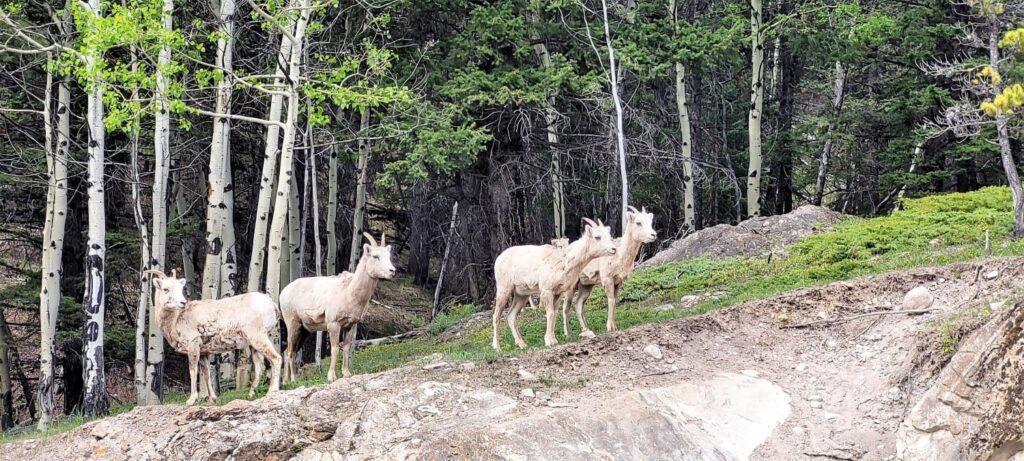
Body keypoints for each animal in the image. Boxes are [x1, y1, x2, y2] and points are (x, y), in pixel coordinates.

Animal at [144, 268, 280, 405]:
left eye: (180, 288)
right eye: (166, 289)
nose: (183, 302)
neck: (174, 321)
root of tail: (272, 305)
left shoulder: (193, 345)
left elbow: (193, 371)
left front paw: (191, 400)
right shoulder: (204, 353)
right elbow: (206, 373)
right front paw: (212, 398)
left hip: (258, 337)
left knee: (276, 358)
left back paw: (272, 391)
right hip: (254, 344)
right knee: (260, 366)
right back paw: (251, 394)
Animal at [278, 232, 393, 383]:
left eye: (389, 256)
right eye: (375, 256)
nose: (392, 271)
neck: (350, 293)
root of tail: (283, 293)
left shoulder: (350, 325)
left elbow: (346, 347)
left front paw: (346, 373)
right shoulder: (333, 324)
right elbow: (334, 349)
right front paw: (331, 377)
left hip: (305, 330)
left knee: (289, 350)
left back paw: (288, 381)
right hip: (293, 324)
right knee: (290, 351)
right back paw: (293, 380)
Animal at [489, 219, 614, 350]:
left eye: (609, 235)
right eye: (597, 237)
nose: (613, 249)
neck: (564, 263)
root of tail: (498, 259)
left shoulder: (558, 293)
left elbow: (554, 313)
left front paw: (554, 340)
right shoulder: (546, 291)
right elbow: (549, 313)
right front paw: (549, 341)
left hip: (521, 295)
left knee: (511, 316)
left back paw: (522, 344)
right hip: (504, 289)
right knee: (496, 316)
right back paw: (497, 347)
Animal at [561, 206, 655, 336]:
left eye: (650, 221)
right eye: (638, 222)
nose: (653, 235)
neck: (619, 255)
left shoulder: (618, 282)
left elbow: (615, 301)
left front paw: (615, 327)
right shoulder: (607, 279)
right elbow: (611, 301)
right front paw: (610, 328)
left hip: (586, 286)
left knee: (578, 305)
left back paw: (586, 329)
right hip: (572, 286)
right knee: (566, 306)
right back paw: (567, 334)